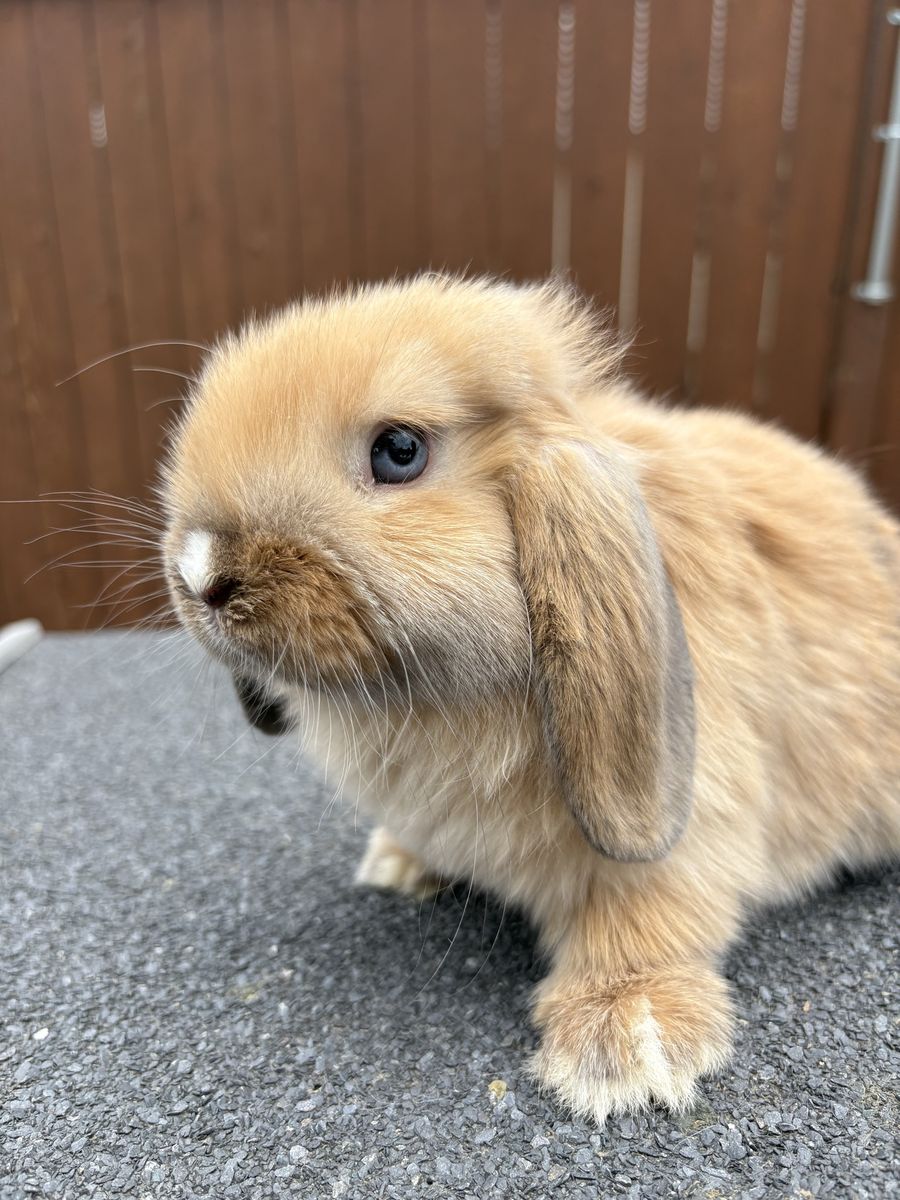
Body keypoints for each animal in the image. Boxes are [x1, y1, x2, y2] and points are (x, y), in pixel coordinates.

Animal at [161, 274, 900, 1124]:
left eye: (399, 451)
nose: (201, 574)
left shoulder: (691, 816)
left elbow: (651, 910)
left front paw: (624, 1040)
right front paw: (397, 864)